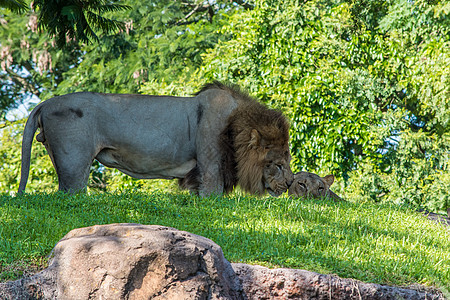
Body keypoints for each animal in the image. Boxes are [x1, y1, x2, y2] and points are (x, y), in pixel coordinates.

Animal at [17, 81, 294, 197]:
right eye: (278, 164)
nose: (291, 183)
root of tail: (46, 103)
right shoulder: (211, 167)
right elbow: (212, 193)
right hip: (74, 165)